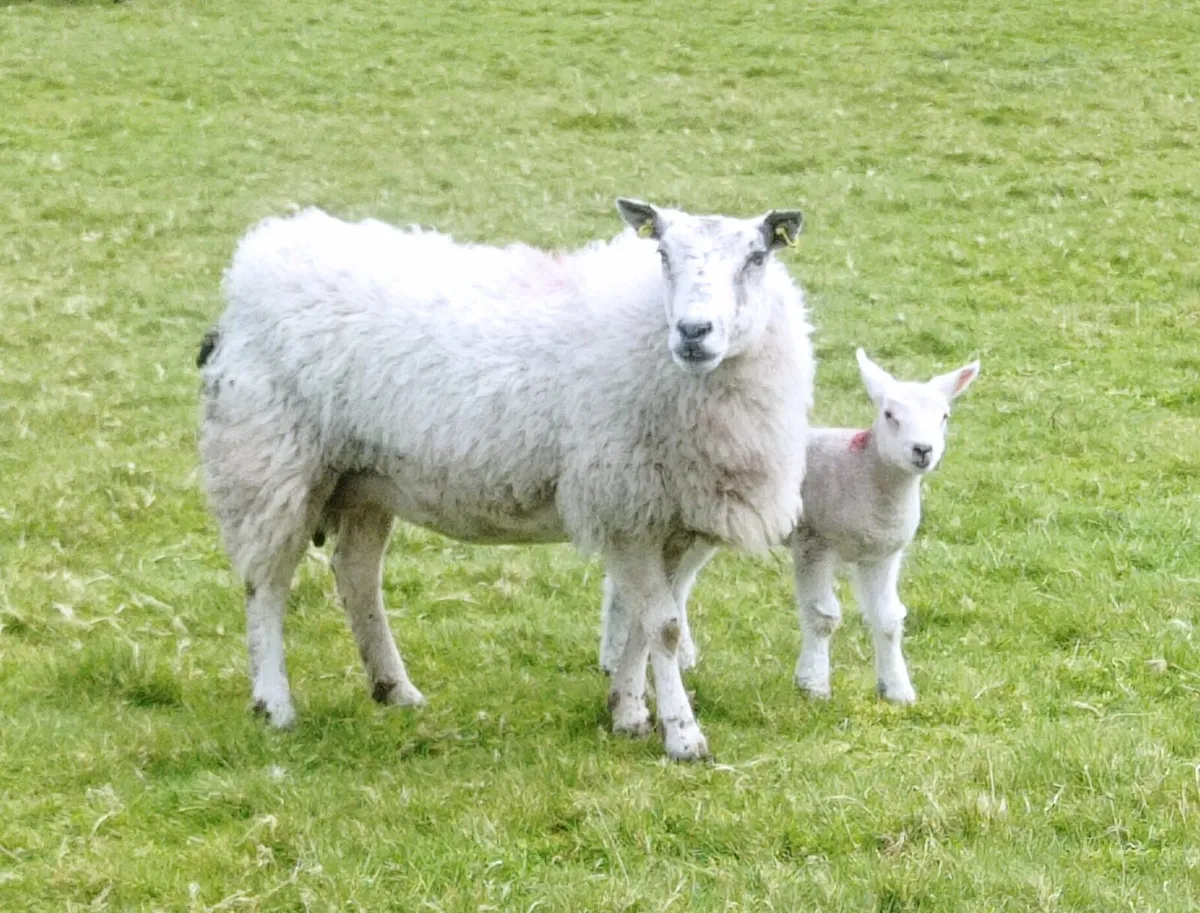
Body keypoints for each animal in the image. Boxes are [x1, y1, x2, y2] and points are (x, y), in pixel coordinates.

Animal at [197, 199, 815, 760]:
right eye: (662, 253)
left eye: (757, 257)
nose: (693, 331)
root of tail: (258, 258)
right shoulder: (623, 504)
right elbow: (661, 626)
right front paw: (683, 738)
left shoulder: (674, 514)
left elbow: (645, 624)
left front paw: (629, 713)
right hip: (271, 459)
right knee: (266, 585)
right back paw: (275, 704)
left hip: (366, 478)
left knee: (356, 576)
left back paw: (394, 689)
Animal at [600, 348, 979, 705]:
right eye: (890, 415)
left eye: (944, 417)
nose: (922, 450)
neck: (864, 473)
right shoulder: (814, 544)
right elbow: (823, 616)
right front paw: (813, 684)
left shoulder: (882, 554)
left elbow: (888, 620)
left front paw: (898, 690)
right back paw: (613, 658)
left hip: (698, 530)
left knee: (675, 588)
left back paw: (680, 658)